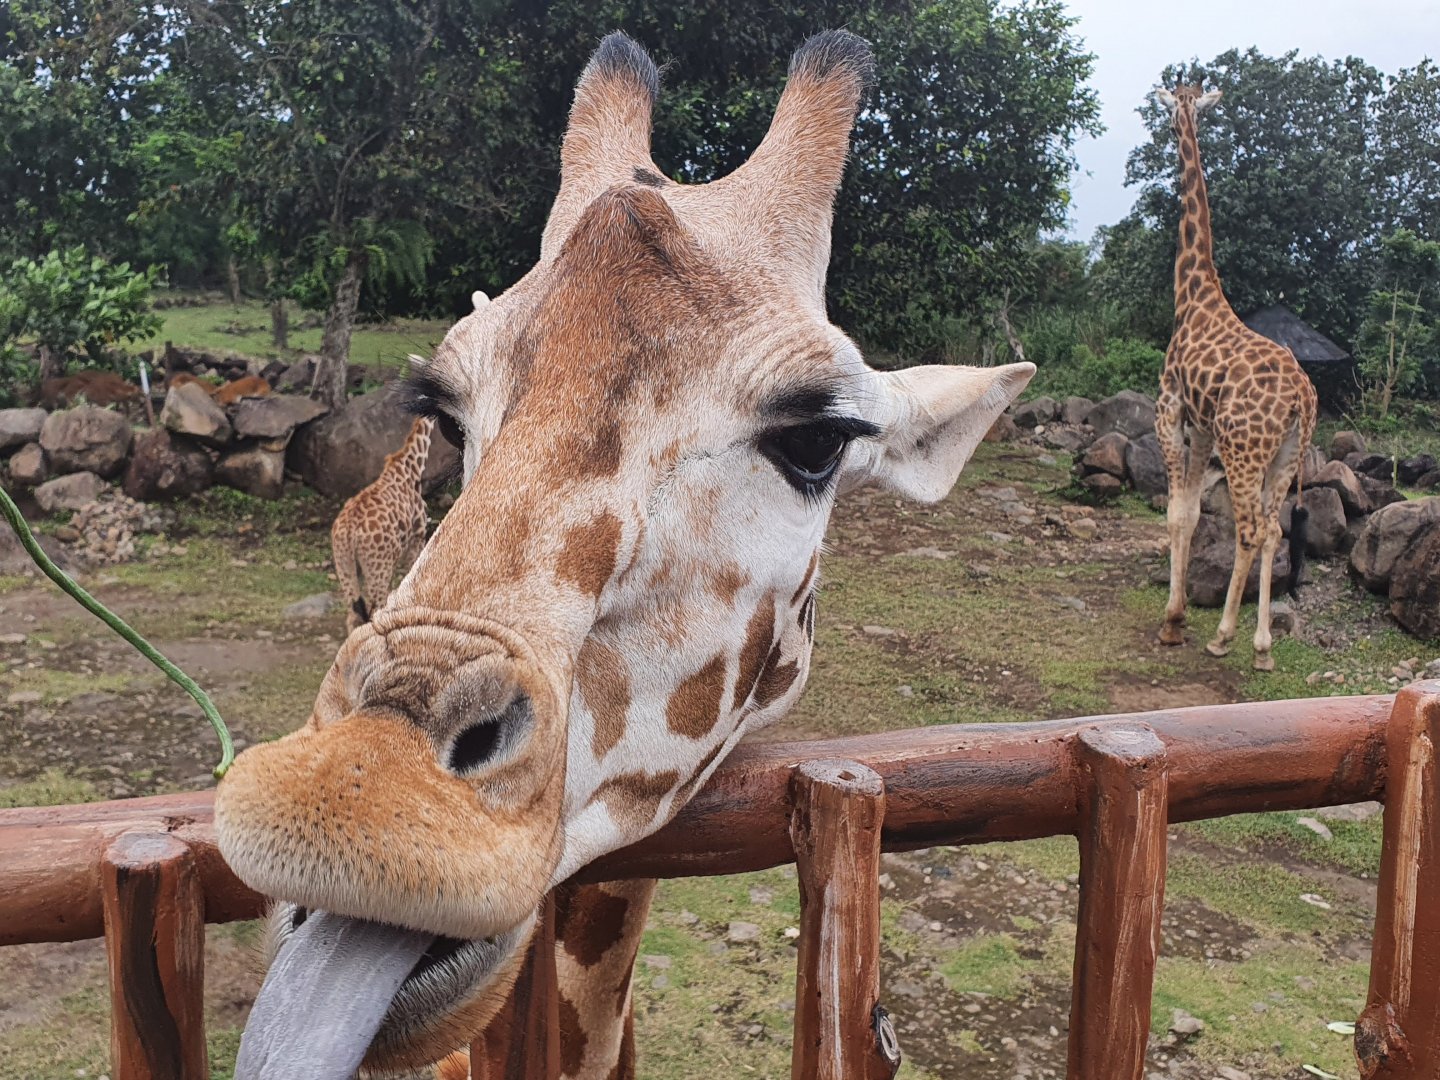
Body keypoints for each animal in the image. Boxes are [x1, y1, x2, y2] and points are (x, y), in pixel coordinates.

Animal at [331, 415, 437, 633]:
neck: (411, 467)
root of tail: (349, 534)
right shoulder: (418, 538)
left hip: (344, 565)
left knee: (353, 616)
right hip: (377, 568)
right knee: (373, 613)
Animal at [1152, 84, 1318, 672]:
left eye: (1174, 108)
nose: (1174, 119)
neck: (1192, 294)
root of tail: (1301, 401)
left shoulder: (1170, 408)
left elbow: (1177, 513)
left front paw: (1174, 621)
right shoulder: (1203, 426)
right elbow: (1192, 514)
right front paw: (1178, 617)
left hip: (1245, 450)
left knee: (1249, 530)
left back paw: (1224, 635)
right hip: (1286, 455)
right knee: (1272, 530)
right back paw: (1262, 646)